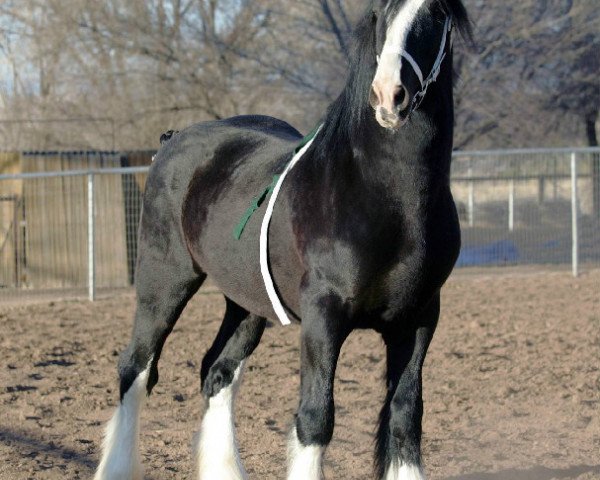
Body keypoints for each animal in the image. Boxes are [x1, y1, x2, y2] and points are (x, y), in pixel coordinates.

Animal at [96, 0, 474, 480]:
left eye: (436, 14)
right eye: (380, 12)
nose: (390, 95)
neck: (382, 196)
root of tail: (173, 139)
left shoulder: (419, 319)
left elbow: (405, 418)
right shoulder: (323, 318)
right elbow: (315, 420)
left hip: (246, 303)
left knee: (217, 372)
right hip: (163, 282)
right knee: (137, 369)